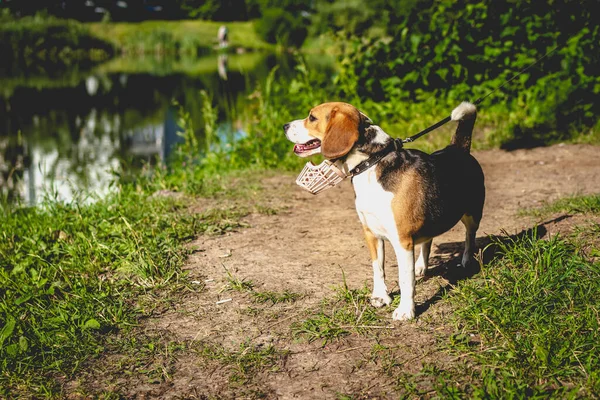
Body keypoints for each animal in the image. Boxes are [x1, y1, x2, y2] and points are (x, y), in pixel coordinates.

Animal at [284, 101, 486, 320]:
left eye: (312, 117)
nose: (284, 126)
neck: (371, 162)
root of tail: (457, 149)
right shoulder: (371, 233)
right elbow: (378, 268)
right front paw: (381, 297)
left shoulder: (402, 240)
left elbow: (405, 279)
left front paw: (406, 310)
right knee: (428, 240)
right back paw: (421, 266)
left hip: (472, 215)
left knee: (469, 237)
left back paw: (466, 261)